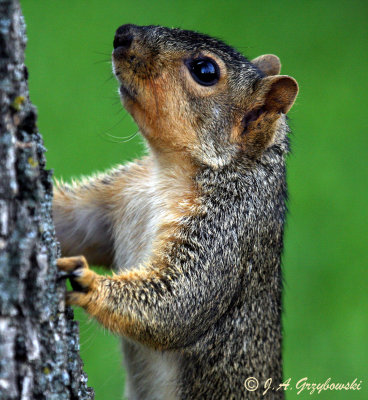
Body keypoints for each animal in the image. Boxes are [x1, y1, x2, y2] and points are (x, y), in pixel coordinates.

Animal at [54, 24, 298, 400]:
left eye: (206, 70)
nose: (123, 33)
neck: (166, 173)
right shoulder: (117, 196)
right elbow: (74, 224)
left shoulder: (227, 231)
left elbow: (177, 304)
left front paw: (87, 281)